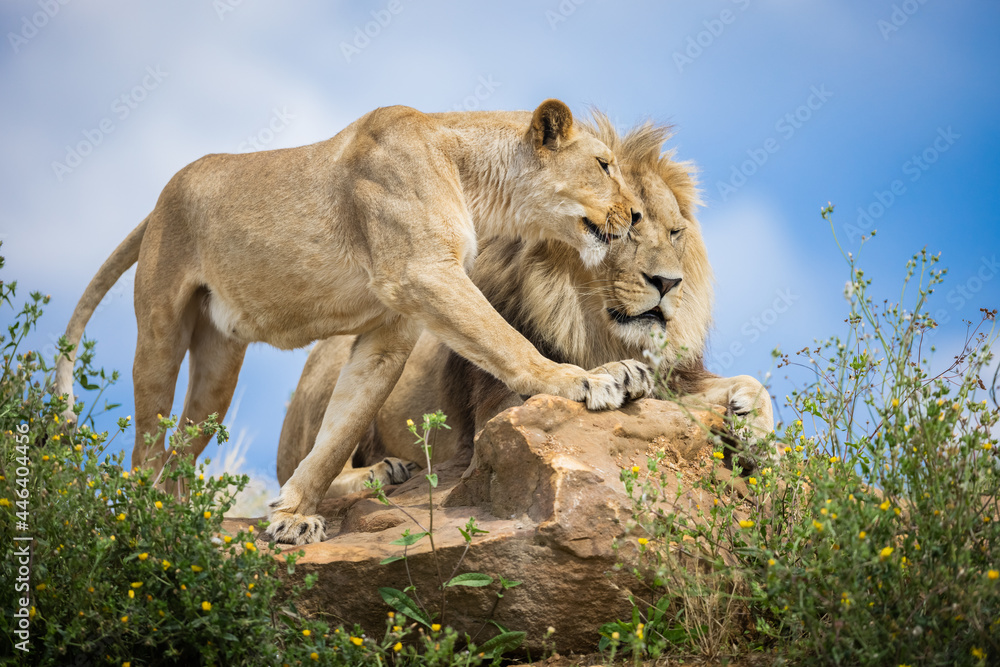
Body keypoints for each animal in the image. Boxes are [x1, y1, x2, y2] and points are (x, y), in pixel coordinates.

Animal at [53, 100, 657, 545]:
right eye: (604, 165)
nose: (636, 216)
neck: (474, 180)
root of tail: (159, 201)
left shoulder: (394, 324)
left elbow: (339, 429)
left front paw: (290, 516)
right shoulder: (423, 275)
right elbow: (506, 342)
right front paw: (589, 378)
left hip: (219, 365)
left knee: (182, 447)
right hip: (160, 327)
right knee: (147, 446)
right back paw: (149, 521)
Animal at [278, 115, 776, 499]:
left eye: (675, 233)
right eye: (627, 228)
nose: (670, 282)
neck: (593, 328)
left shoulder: (677, 377)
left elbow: (750, 385)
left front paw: (755, 430)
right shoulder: (496, 408)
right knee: (311, 468)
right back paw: (382, 472)